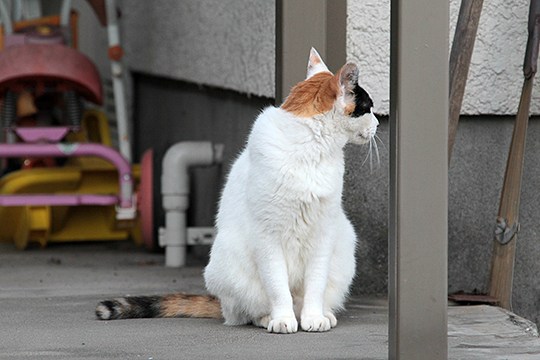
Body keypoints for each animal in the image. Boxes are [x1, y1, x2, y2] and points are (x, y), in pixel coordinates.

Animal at [96, 48, 376, 334]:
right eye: (369, 108)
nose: (377, 123)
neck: (310, 148)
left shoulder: (323, 232)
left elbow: (316, 283)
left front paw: (314, 318)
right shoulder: (267, 236)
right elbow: (277, 285)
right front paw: (282, 319)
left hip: (344, 243)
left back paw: (322, 314)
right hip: (228, 259)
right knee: (243, 312)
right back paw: (268, 318)